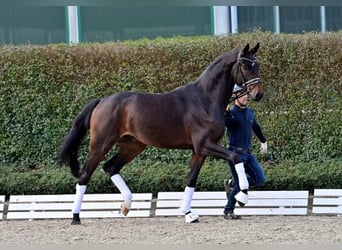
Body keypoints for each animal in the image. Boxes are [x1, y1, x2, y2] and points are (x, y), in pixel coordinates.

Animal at [57, 42, 264, 225]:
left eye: (257, 64)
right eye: (245, 65)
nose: (258, 94)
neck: (205, 99)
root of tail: (102, 101)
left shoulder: (199, 151)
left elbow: (191, 180)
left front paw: (188, 214)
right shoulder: (205, 145)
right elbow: (236, 157)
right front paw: (242, 196)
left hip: (132, 146)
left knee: (111, 168)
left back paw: (126, 205)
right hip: (100, 145)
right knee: (85, 176)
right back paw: (75, 217)